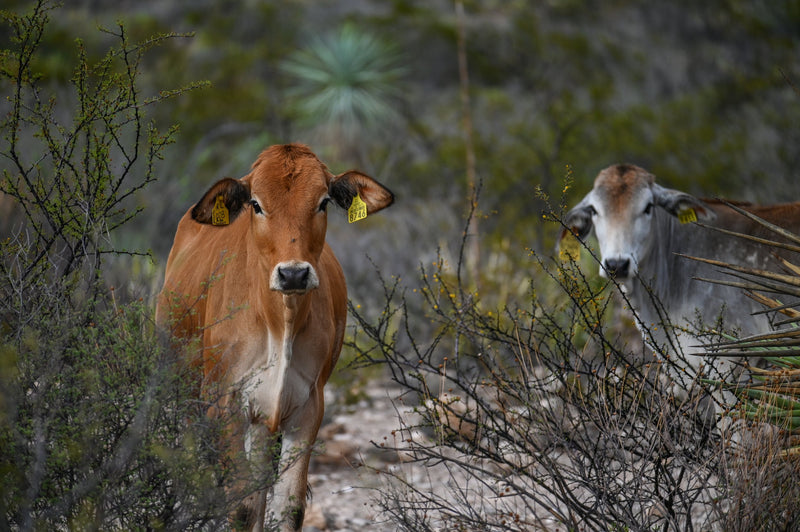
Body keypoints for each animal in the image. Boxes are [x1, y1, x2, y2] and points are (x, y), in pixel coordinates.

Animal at [156, 144, 394, 531]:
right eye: (256, 203)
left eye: (323, 201)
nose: (293, 274)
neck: (280, 324)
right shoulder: (224, 402)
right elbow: (239, 505)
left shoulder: (307, 407)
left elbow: (286, 505)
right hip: (183, 395)